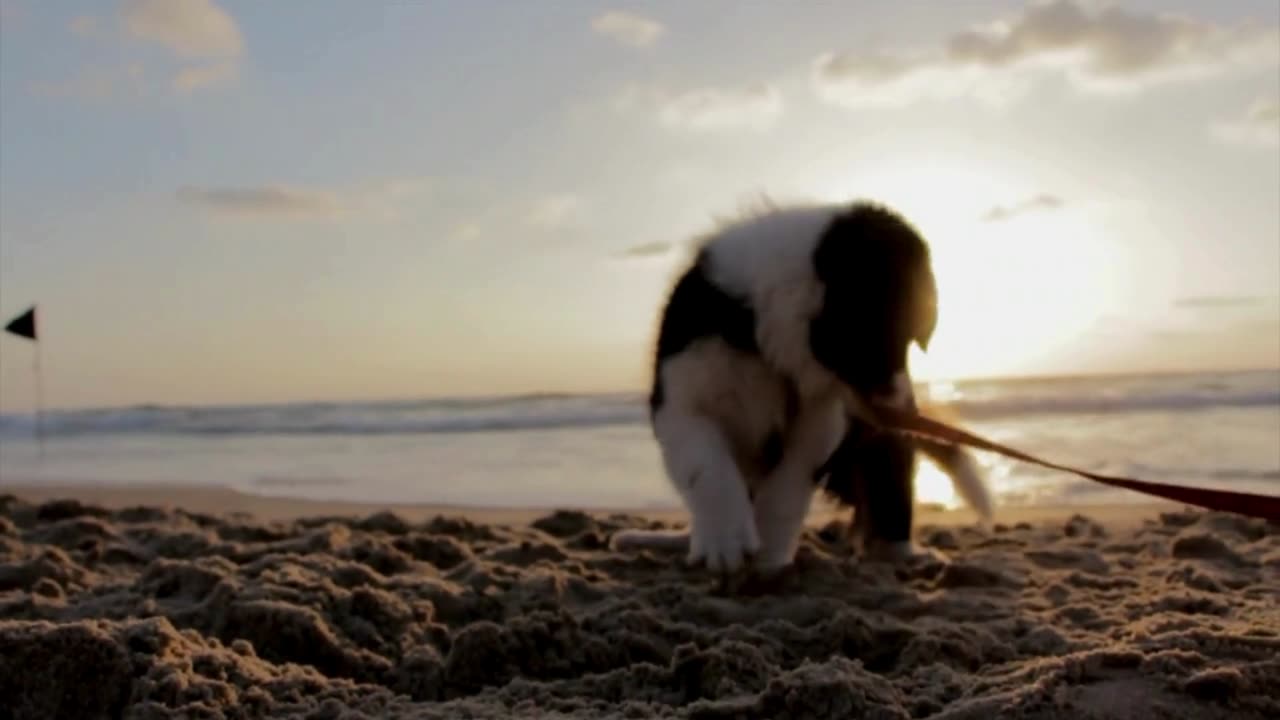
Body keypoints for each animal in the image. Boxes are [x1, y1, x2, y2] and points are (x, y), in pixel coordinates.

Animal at [609, 198, 988, 573]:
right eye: (886, 333)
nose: (906, 406)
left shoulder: (819, 422)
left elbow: (786, 489)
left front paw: (768, 558)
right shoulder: (681, 396)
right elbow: (708, 466)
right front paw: (724, 542)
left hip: (875, 452)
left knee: (887, 493)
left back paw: (907, 554)